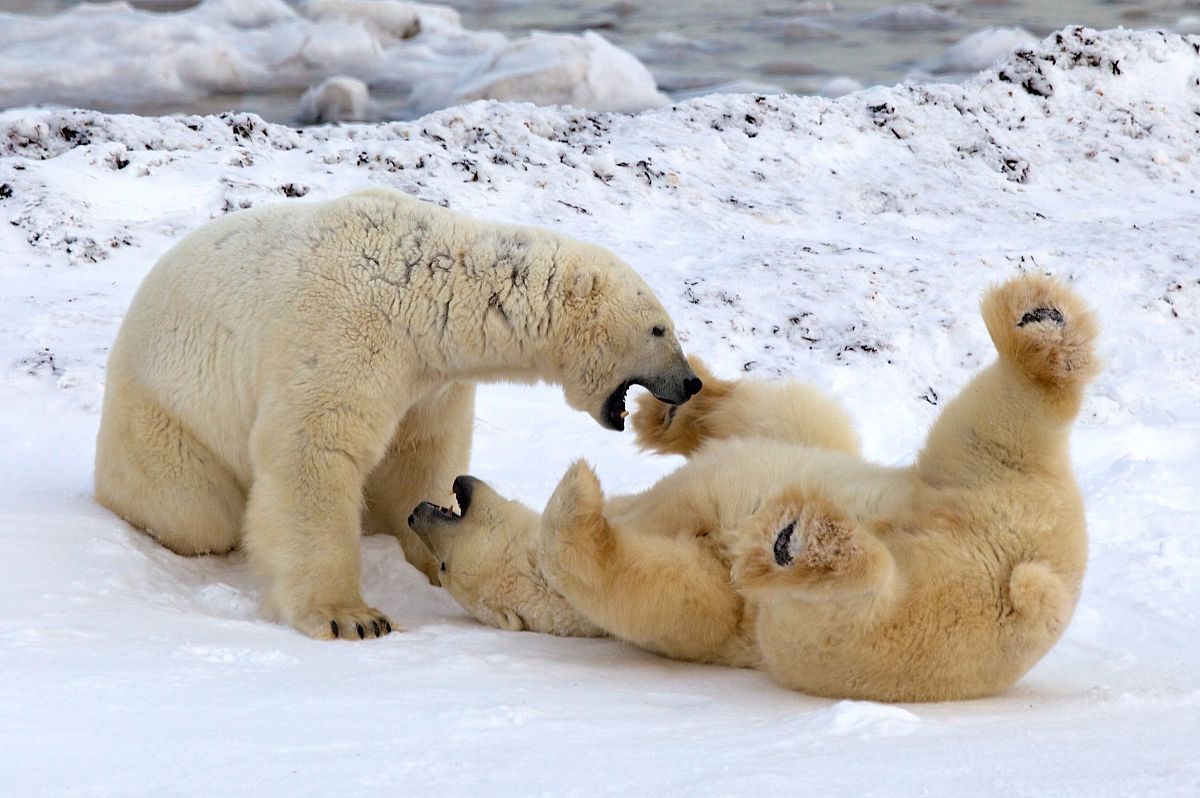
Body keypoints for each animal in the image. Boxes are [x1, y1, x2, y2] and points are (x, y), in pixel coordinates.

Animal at [94, 187, 701, 641]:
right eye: (660, 329)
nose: (691, 381)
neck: (425, 288)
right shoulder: (342, 333)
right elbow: (313, 452)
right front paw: (352, 617)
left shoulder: (429, 377)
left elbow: (418, 454)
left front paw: (431, 553)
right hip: (162, 415)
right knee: (194, 510)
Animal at [409, 275, 1099, 701]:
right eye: (443, 569)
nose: (422, 506)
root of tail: (1030, 578)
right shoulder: (685, 610)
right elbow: (683, 593)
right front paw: (577, 493)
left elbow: (781, 423)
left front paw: (665, 410)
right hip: (878, 642)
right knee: (851, 608)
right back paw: (801, 543)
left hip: (965, 489)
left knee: (993, 426)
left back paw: (1038, 322)